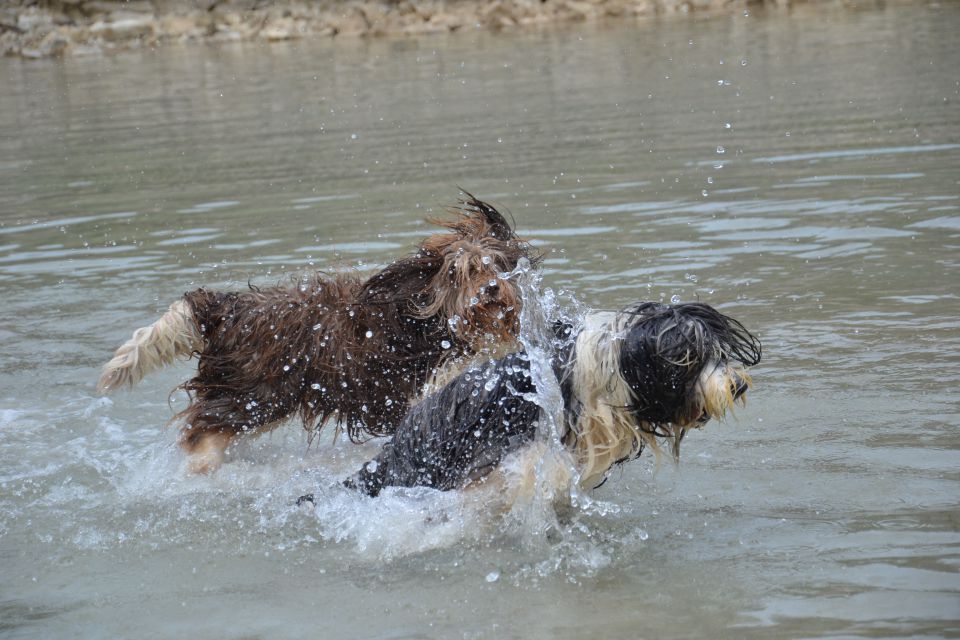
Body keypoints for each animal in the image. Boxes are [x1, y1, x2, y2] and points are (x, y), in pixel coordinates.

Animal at [97, 194, 540, 470]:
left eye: (496, 264)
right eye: (460, 272)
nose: (490, 290)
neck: (427, 321)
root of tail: (226, 308)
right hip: (251, 397)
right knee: (201, 433)